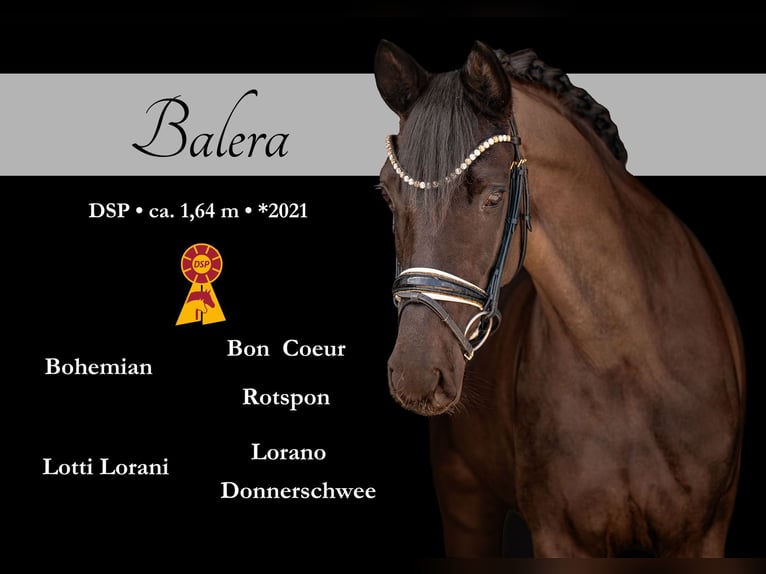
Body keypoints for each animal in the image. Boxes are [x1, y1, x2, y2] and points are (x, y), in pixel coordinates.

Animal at [374, 39, 746, 558]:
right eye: (387, 195)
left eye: (493, 196)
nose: (415, 373)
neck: (628, 358)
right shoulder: (560, 538)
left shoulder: (702, 537)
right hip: (465, 501)